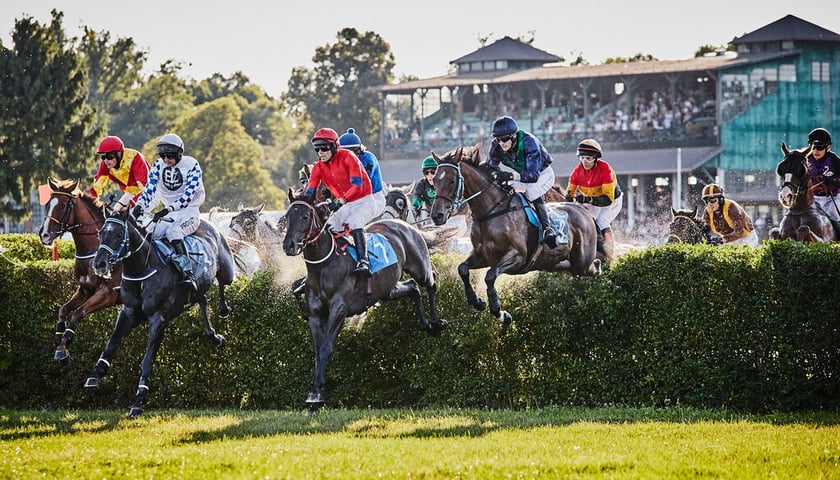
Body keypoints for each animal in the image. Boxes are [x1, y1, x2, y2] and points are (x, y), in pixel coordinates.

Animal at [38, 178, 120, 362]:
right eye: (47, 204)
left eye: (62, 206)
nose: (44, 235)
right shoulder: (84, 290)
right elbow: (63, 309)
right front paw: (59, 338)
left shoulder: (108, 293)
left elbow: (77, 312)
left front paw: (63, 347)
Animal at [88, 210, 236, 416]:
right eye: (100, 232)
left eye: (118, 234)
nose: (99, 264)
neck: (143, 269)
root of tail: (208, 222)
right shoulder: (128, 312)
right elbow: (111, 345)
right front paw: (95, 374)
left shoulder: (159, 319)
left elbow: (147, 360)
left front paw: (139, 401)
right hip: (196, 290)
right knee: (202, 299)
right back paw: (214, 336)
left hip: (227, 270)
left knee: (223, 283)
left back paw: (223, 311)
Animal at [282, 189, 450, 410]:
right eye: (287, 216)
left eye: (304, 217)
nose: (289, 245)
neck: (324, 265)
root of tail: (405, 225)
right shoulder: (316, 314)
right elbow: (317, 351)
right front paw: (315, 390)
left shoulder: (339, 309)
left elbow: (326, 347)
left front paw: (316, 395)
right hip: (387, 289)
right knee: (413, 288)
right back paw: (426, 325)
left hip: (420, 267)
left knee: (431, 284)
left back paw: (437, 323)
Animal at [430, 145, 600, 326]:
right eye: (434, 181)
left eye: (451, 181)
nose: (437, 216)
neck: (491, 212)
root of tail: (583, 210)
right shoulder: (482, 256)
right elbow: (462, 269)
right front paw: (477, 301)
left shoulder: (517, 256)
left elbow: (490, 276)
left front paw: (500, 312)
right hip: (555, 263)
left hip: (581, 263)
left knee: (591, 269)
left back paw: (598, 265)